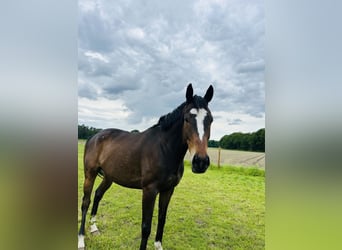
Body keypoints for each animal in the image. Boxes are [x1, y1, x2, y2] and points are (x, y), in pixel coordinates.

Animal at [78, 84, 214, 250]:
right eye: (187, 119)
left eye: (210, 120)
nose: (200, 162)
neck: (164, 149)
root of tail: (94, 136)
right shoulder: (149, 190)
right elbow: (146, 226)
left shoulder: (168, 190)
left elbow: (162, 219)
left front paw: (158, 245)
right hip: (89, 174)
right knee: (85, 202)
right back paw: (81, 239)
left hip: (109, 177)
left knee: (98, 195)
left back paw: (94, 228)